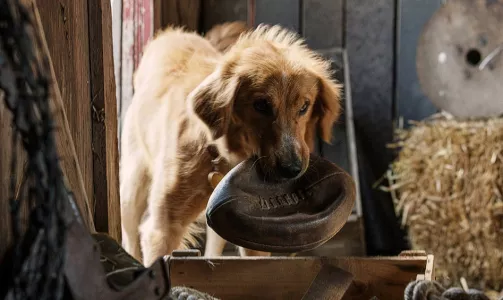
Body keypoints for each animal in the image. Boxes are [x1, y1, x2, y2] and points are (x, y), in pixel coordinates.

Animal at [120, 21, 342, 264]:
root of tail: (171, 34)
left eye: (304, 106)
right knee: (129, 237)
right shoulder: (163, 229)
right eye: (261, 105)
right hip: (132, 189)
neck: (219, 154)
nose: (292, 169)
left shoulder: (251, 230)